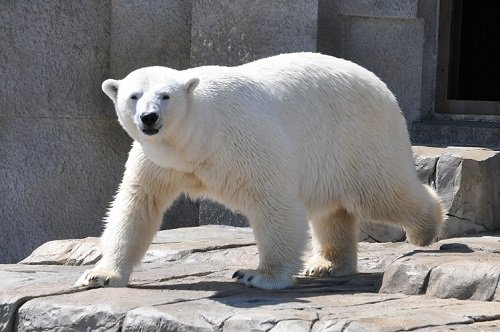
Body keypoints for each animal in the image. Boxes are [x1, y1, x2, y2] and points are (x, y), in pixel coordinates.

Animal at [74, 52, 442, 290]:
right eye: (134, 96)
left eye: (165, 96)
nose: (148, 117)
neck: (195, 140)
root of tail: (380, 85)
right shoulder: (157, 161)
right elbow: (138, 204)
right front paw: (99, 275)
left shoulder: (243, 140)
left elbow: (272, 199)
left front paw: (258, 276)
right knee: (331, 208)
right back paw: (327, 265)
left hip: (357, 137)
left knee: (381, 192)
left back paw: (426, 229)